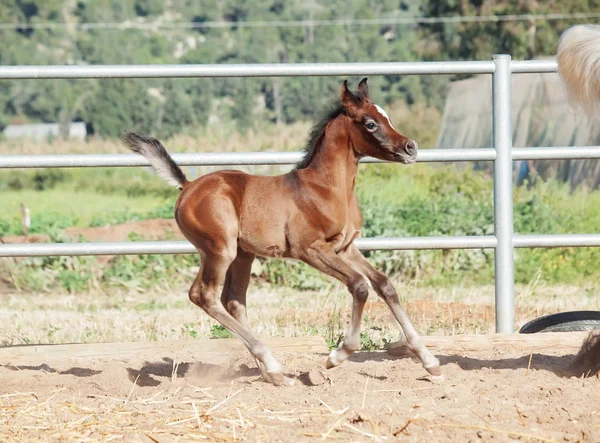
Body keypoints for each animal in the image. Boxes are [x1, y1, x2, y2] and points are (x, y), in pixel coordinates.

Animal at [124, 79, 440, 386]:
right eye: (370, 123)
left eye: (387, 117)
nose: (411, 148)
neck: (325, 189)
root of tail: (188, 186)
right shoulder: (311, 250)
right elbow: (360, 285)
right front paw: (335, 358)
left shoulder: (346, 247)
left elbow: (384, 285)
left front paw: (430, 361)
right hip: (219, 250)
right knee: (204, 295)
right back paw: (273, 366)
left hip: (243, 255)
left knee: (234, 301)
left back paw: (271, 372)